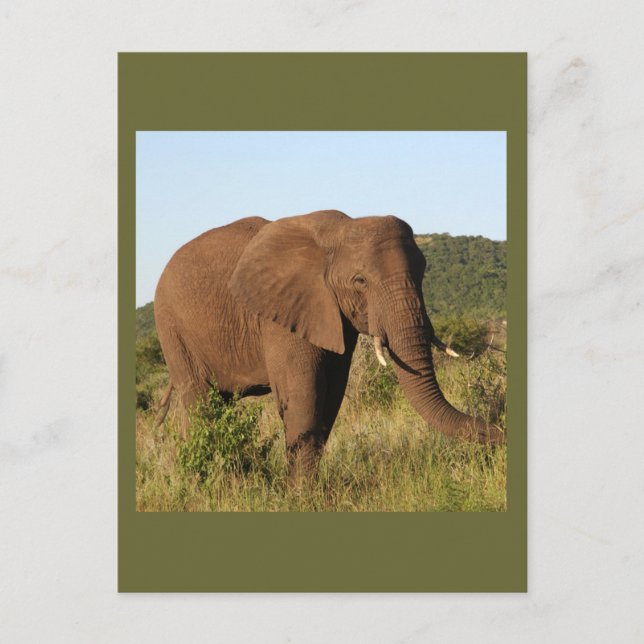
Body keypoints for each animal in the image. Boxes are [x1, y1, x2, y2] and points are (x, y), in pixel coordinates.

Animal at [153, 210, 504, 479]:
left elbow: (331, 395)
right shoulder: (282, 313)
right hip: (172, 329)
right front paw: (302, 498)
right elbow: (304, 396)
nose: (499, 435)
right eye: (360, 281)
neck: (338, 232)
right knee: (200, 405)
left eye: (422, 274)